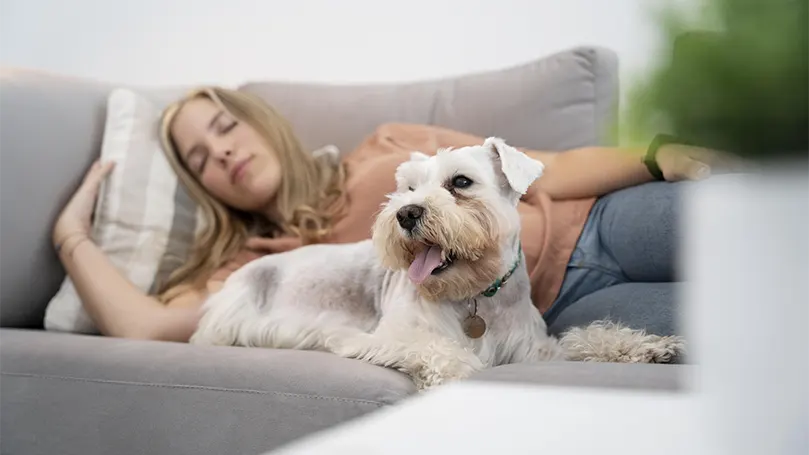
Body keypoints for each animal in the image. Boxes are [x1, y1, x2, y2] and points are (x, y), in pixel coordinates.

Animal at [193, 137, 684, 390]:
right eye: (408, 188)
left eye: (461, 182)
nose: (406, 214)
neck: (474, 296)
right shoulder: (384, 337)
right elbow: (441, 350)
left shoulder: (535, 350)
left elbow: (587, 338)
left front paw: (647, 347)